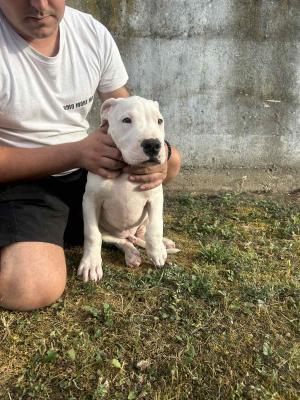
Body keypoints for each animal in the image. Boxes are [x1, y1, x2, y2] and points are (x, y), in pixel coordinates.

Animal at [77, 95, 178, 282]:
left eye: (159, 121)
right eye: (126, 120)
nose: (153, 144)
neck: (126, 169)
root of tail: (128, 233)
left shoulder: (155, 197)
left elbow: (155, 227)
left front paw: (157, 251)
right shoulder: (90, 201)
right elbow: (92, 235)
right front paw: (91, 264)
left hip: (143, 221)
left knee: (142, 234)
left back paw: (163, 243)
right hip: (108, 231)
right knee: (120, 241)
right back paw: (131, 255)